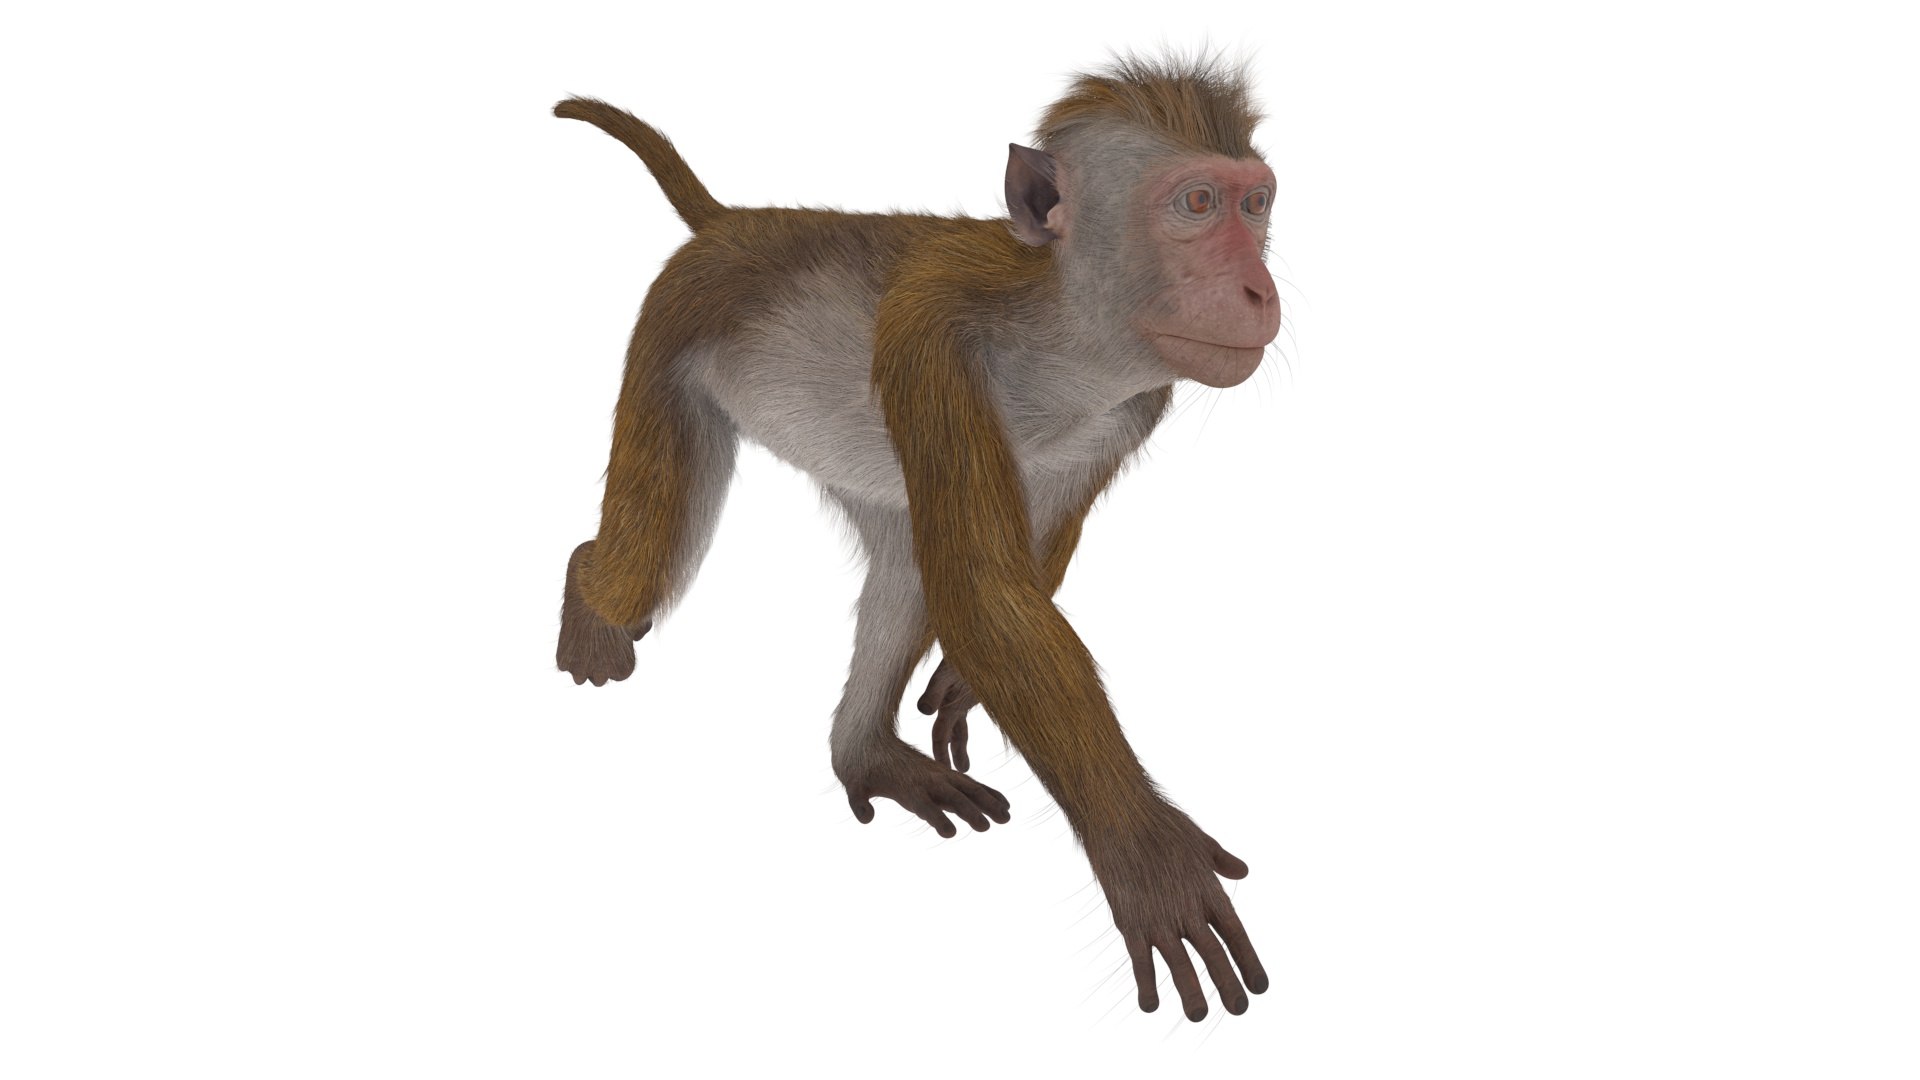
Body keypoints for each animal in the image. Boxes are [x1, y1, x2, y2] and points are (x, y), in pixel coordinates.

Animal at [552, 55, 1281, 1022]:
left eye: (1257, 203)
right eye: (1198, 203)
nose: (1259, 289)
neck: (1060, 338)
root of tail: (734, 223)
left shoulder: (1132, 405)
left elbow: (1006, 568)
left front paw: (964, 685)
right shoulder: (929, 342)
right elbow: (979, 588)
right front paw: (1144, 850)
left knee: (903, 564)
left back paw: (862, 753)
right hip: (671, 334)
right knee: (647, 562)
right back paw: (588, 593)